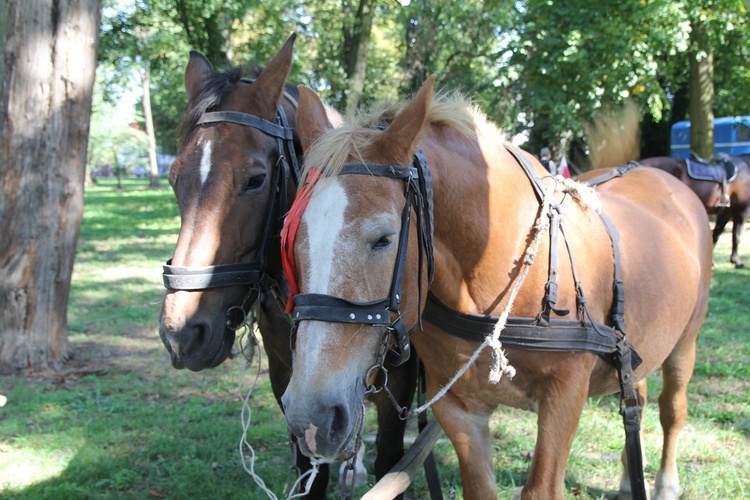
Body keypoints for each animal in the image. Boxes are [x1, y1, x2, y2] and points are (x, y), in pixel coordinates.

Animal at [158, 37, 420, 498]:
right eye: (174, 178)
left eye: (256, 179)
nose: (181, 333)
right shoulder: (289, 386)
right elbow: (308, 470)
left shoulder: (398, 392)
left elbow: (394, 465)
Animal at [280, 77, 712, 496]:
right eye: (290, 237)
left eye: (384, 238)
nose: (310, 416)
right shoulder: (459, 408)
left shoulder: (564, 399)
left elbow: (541, 489)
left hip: (685, 344)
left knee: (671, 409)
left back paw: (666, 482)